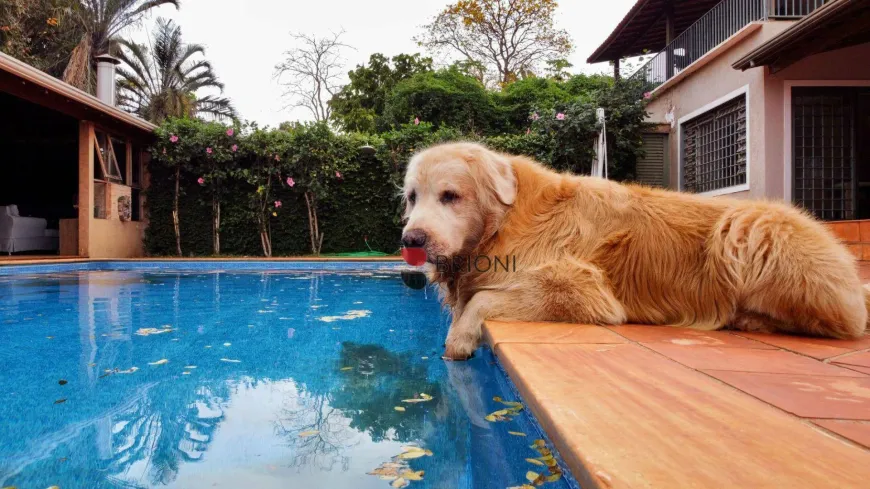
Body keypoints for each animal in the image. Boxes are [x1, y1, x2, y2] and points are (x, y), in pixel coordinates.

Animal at [402, 141, 870, 358]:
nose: (411, 240)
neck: (504, 224)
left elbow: (481, 299)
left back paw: (751, 318)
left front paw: (459, 338)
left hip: (745, 225)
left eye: (450, 196)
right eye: (411, 197)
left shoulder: (583, 289)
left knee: (840, 322)